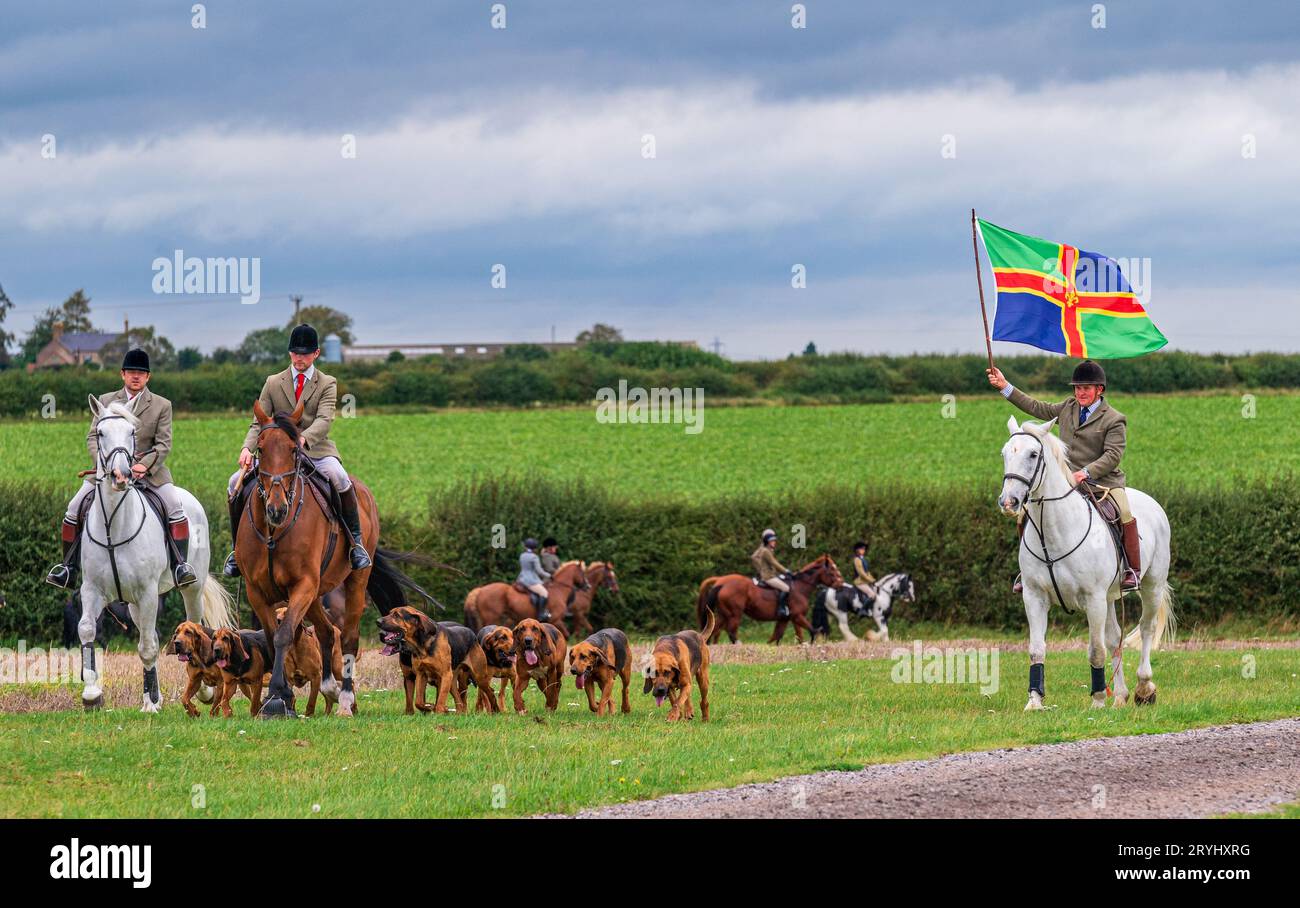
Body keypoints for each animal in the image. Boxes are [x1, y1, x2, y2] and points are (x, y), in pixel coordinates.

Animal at [78, 400, 233, 712]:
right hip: (134, 604)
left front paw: (149, 705)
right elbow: (87, 630)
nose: (122, 476)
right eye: (100, 433)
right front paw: (91, 694)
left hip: (191, 588)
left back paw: (203, 692)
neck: (113, 525)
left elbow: (147, 648)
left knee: (196, 626)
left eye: (132, 432)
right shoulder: (92, 589)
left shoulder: (148, 593)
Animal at [236, 400, 434, 718]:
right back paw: (330, 688)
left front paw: (278, 697)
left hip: (353, 582)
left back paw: (345, 700)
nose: (277, 509)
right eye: (261, 449)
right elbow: (272, 636)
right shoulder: (258, 591)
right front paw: (278, 698)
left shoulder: (302, 584)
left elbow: (283, 635)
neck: (274, 532)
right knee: (327, 632)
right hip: (317, 592)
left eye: (294, 450)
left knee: (348, 636)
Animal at [462, 559, 590, 637]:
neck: (559, 589)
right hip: (491, 618)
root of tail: (481, 589)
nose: (588, 586)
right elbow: (566, 635)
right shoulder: (556, 620)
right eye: (582, 573)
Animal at [696, 551, 847, 642]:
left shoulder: (785, 619)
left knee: (713, 629)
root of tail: (721, 581)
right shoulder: (797, 616)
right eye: (832, 570)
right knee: (731, 632)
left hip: (724, 614)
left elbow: (776, 637)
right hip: (734, 614)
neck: (800, 587)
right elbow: (811, 630)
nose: (841, 584)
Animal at [998, 416, 1175, 707]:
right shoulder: (1034, 597)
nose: (1008, 502)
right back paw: (1121, 696)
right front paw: (1034, 701)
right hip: (1110, 597)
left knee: (1146, 628)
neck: (1054, 530)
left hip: (1152, 585)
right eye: (1005, 454)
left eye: (1033, 454)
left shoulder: (1093, 599)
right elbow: (1036, 650)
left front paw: (1098, 700)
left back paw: (1144, 688)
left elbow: (1095, 650)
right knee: (1115, 639)